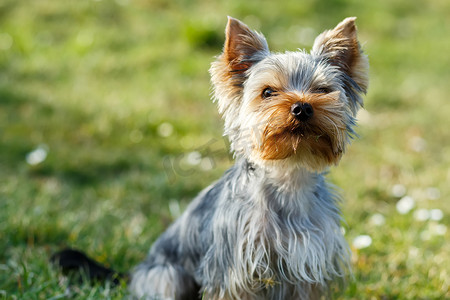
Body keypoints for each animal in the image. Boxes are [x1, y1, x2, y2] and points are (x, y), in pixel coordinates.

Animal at [128, 17, 368, 300]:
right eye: (268, 92)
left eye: (322, 89)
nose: (301, 107)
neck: (289, 174)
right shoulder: (235, 270)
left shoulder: (308, 263)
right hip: (165, 274)